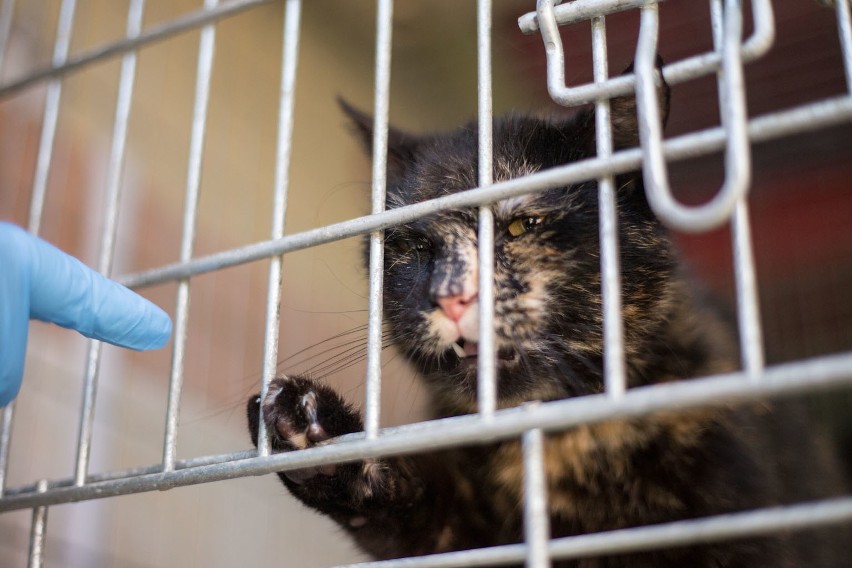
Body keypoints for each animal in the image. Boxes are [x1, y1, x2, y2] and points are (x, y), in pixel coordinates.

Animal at [245, 76, 844, 568]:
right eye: (416, 248)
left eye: (520, 227)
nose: (452, 296)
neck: (560, 440)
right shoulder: (462, 538)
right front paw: (315, 432)